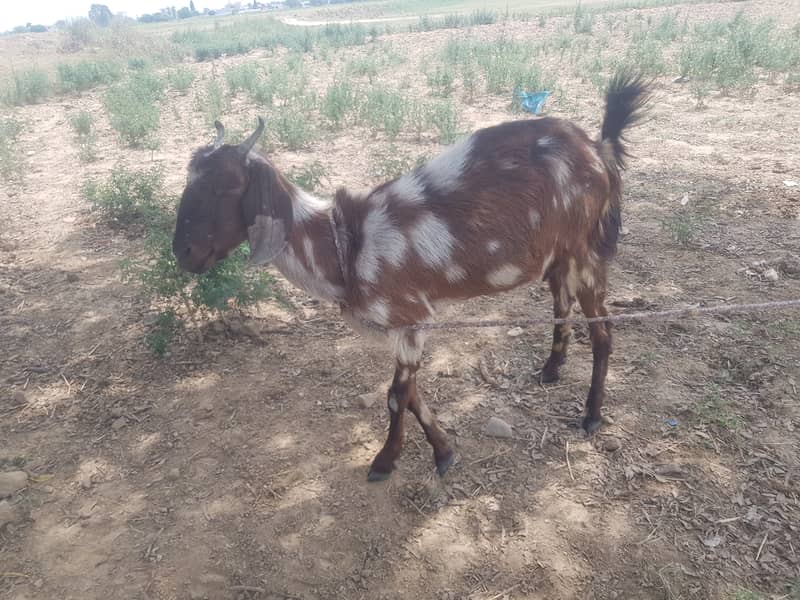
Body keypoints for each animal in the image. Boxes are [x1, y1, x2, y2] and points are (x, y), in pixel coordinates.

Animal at [173, 72, 650, 481]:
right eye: (188, 182)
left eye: (228, 187)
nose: (183, 253)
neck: (345, 244)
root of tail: (597, 148)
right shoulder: (402, 328)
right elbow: (412, 392)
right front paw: (443, 451)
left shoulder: (411, 316)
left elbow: (395, 394)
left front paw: (385, 461)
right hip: (560, 257)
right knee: (560, 302)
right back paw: (551, 370)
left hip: (586, 252)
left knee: (603, 331)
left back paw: (591, 415)